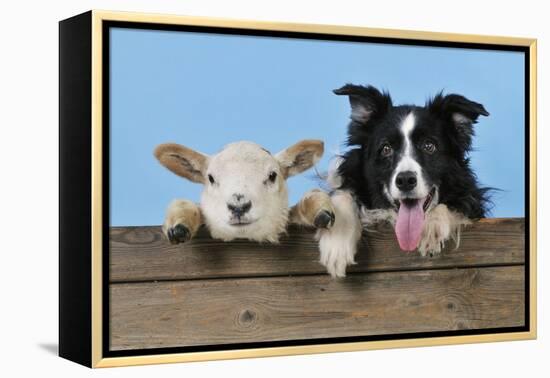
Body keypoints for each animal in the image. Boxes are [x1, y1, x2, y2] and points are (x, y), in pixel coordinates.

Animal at [320, 84, 492, 276]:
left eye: (429, 146)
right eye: (386, 148)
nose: (405, 181)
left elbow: (452, 205)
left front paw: (431, 229)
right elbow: (344, 193)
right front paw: (337, 247)